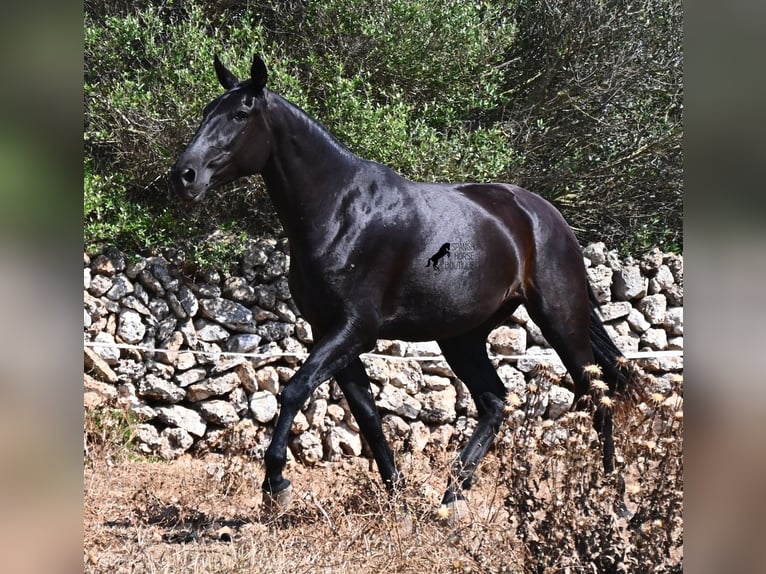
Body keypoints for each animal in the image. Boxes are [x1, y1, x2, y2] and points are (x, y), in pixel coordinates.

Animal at [170, 53, 636, 515]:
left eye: (240, 114)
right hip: (462, 336)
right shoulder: (331, 332)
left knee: (597, 396)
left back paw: (611, 497)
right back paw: (453, 497)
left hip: (561, 321)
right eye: (207, 112)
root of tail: (545, 215)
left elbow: (295, 390)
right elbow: (367, 415)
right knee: (494, 402)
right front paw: (398, 497)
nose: (184, 175)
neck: (340, 212)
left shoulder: (355, 329)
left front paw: (277, 484)